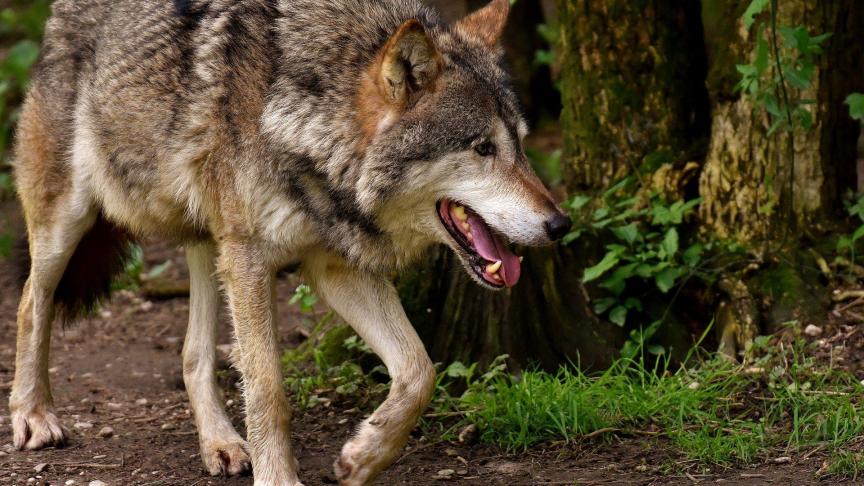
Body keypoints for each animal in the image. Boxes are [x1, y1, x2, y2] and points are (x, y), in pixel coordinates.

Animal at [9, 0, 572, 484]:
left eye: (521, 145)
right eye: (482, 148)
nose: (560, 224)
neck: (306, 121)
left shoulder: (333, 267)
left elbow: (419, 371)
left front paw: (363, 458)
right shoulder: (252, 259)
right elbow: (268, 389)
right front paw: (279, 477)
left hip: (209, 241)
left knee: (194, 354)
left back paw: (221, 444)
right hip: (70, 220)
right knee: (31, 302)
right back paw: (33, 415)